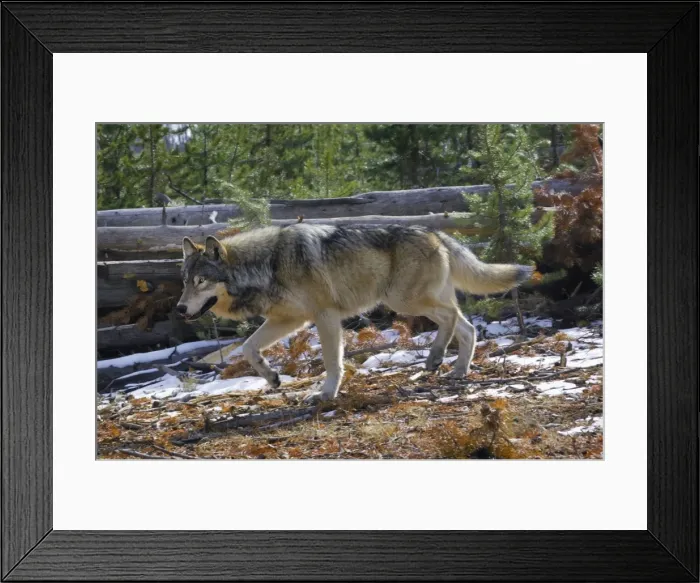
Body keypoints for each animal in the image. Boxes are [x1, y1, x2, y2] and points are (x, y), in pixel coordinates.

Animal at [176, 224, 532, 402]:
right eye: (185, 281)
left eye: (201, 281)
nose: (179, 308)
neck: (267, 264)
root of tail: (435, 233)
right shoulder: (288, 319)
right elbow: (249, 348)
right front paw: (271, 376)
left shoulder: (325, 316)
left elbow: (332, 362)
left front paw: (325, 394)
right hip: (415, 301)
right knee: (467, 327)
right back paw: (454, 370)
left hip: (403, 301)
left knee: (454, 319)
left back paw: (435, 358)